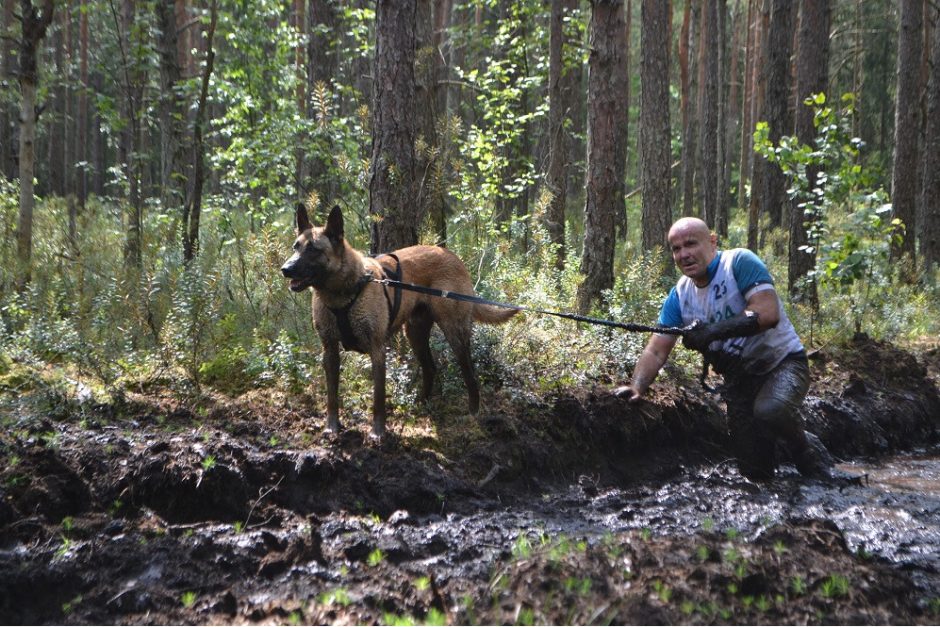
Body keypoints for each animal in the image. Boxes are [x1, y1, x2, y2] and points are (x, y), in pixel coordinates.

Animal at [280, 205, 516, 436]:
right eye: (295, 247)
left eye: (313, 249)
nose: (285, 269)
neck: (342, 293)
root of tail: (452, 256)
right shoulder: (329, 349)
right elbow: (332, 396)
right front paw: (332, 427)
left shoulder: (377, 349)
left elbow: (378, 398)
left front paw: (378, 433)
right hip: (414, 334)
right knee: (430, 368)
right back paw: (421, 404)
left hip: (454, 331)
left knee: (469, 373)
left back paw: (473, 411)